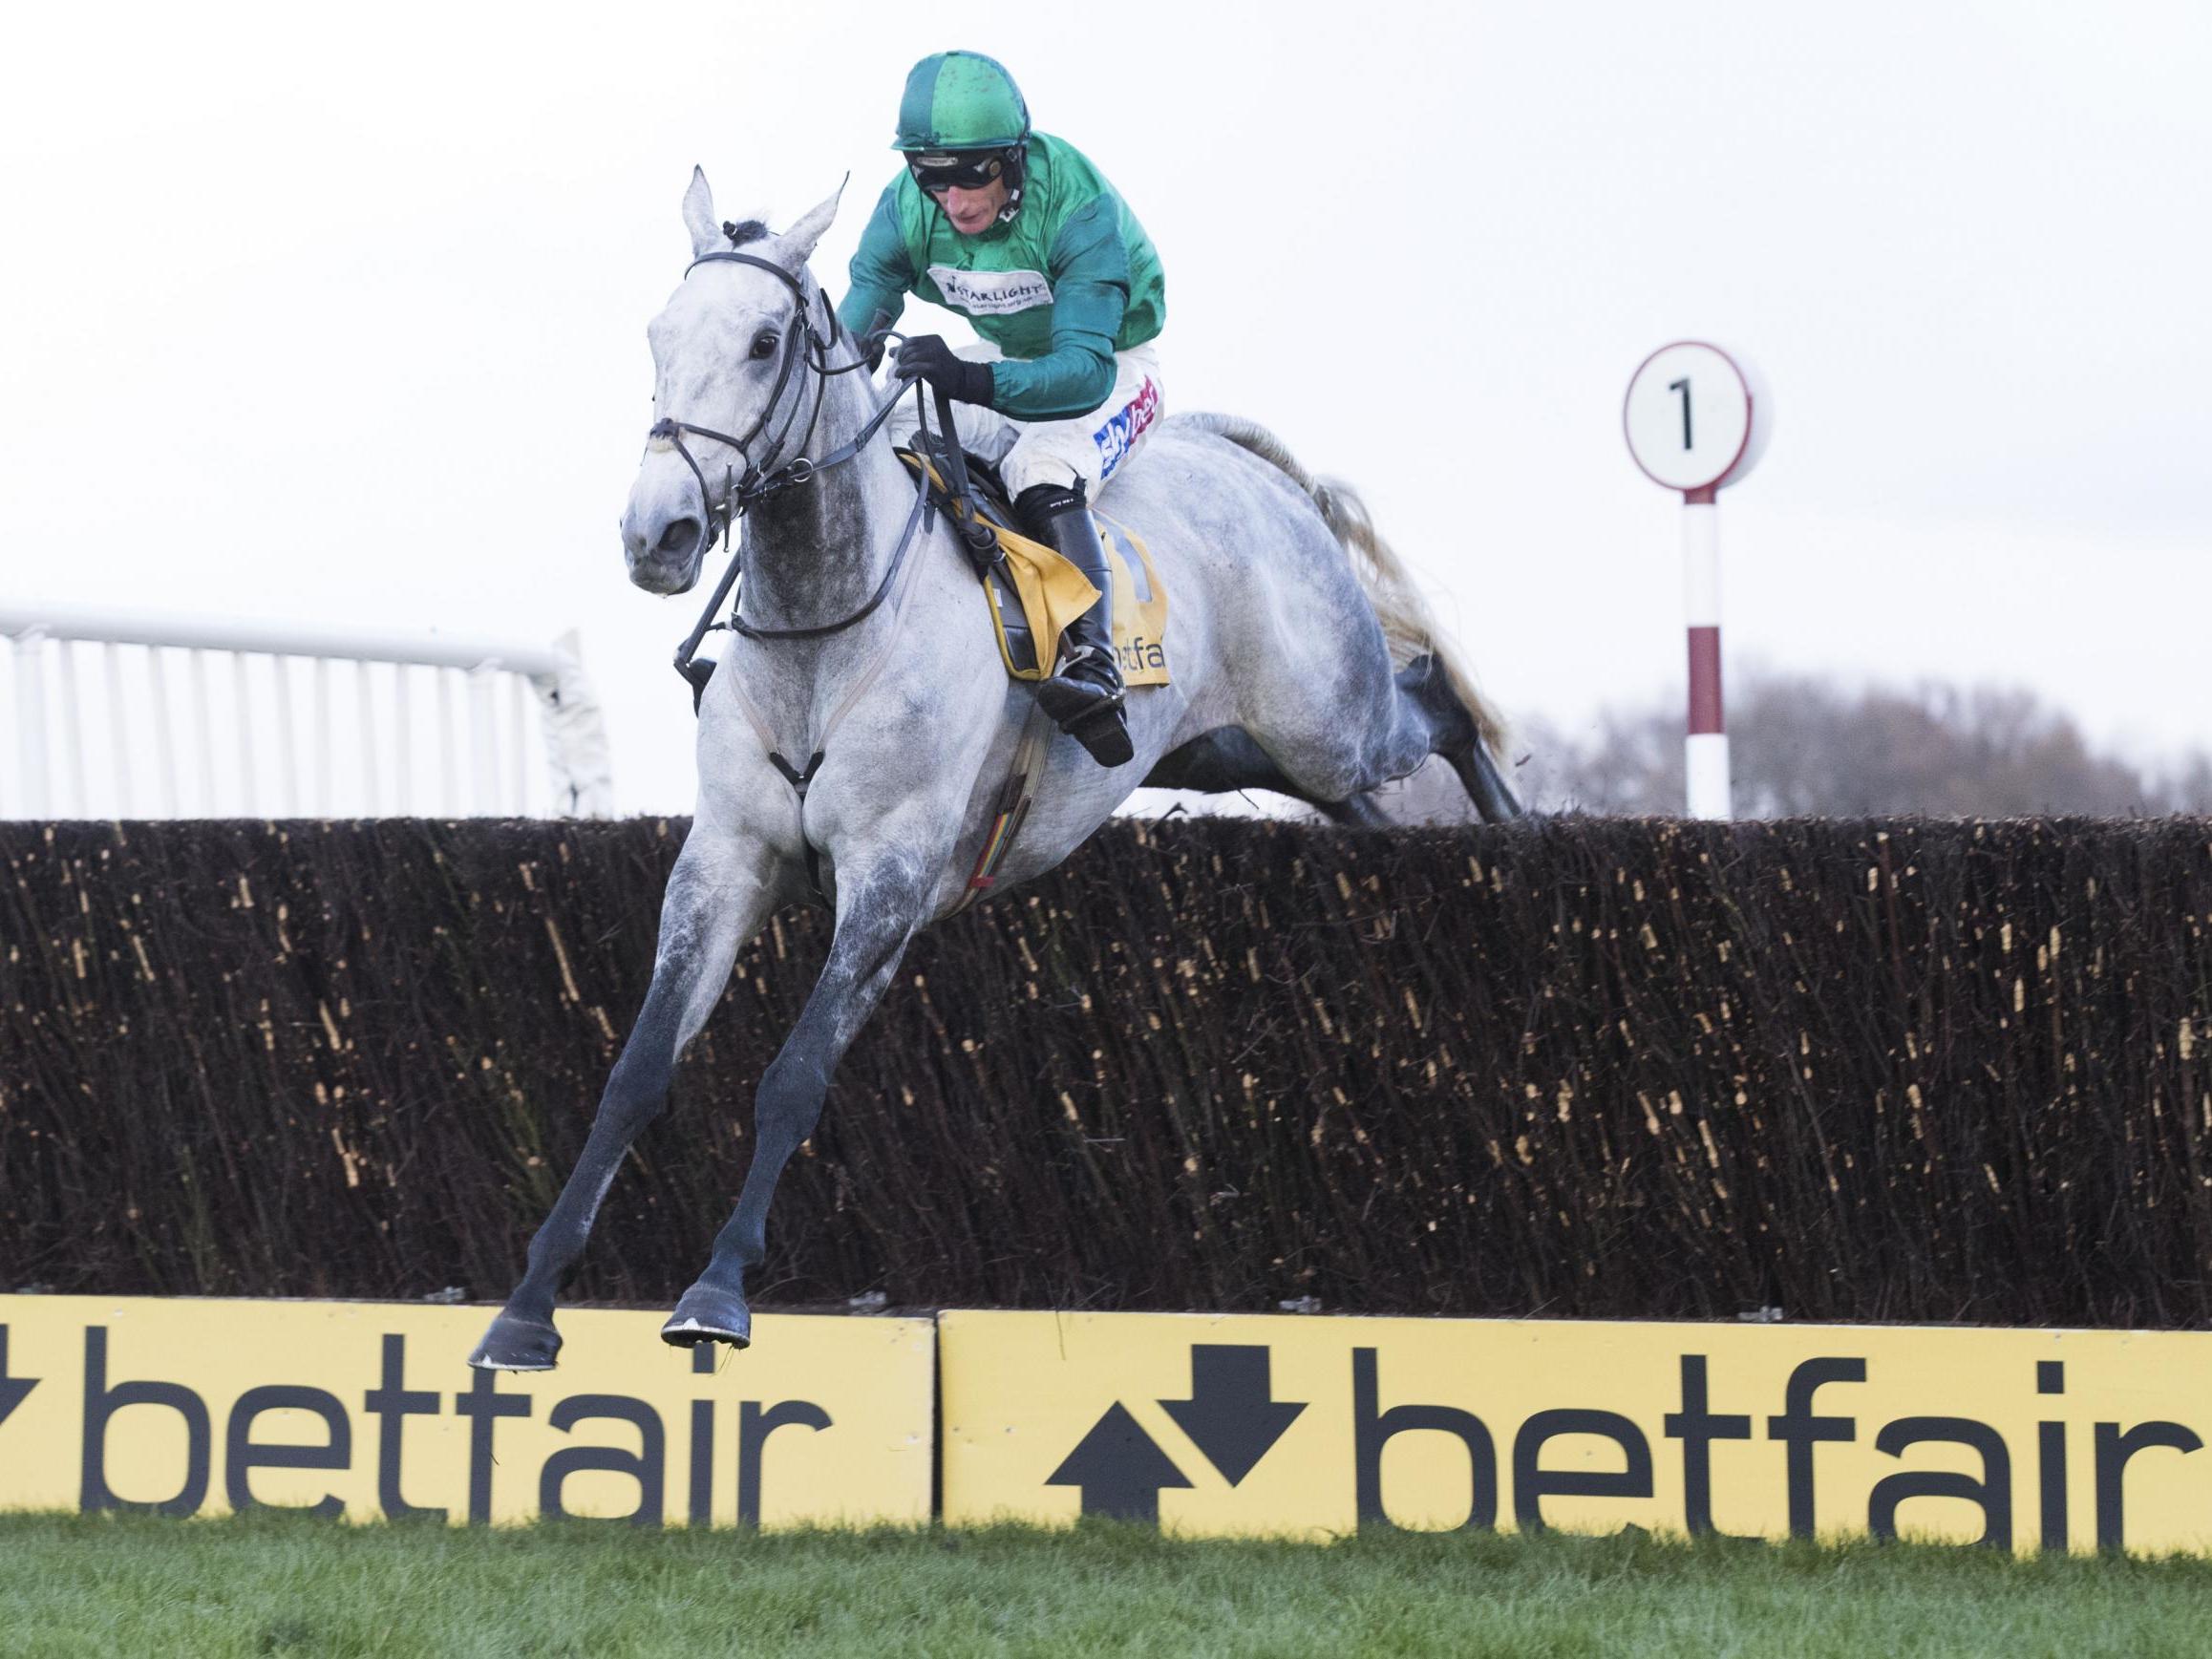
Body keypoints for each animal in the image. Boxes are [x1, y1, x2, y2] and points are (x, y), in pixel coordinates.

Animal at [468, 169, 1521, 1371]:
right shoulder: (724, 860)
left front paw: (719, 1293)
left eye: (765, 341)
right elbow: (635, 1074)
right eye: (659, 334)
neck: (825, 629)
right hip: (1232, 750)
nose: (660, 533)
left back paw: (1516, 827)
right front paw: (527, 1307)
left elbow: (794, 1078)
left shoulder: (891, 875)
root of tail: (1234, 457)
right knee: (1367, 802)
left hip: (1323, 710)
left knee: (1435, 700)